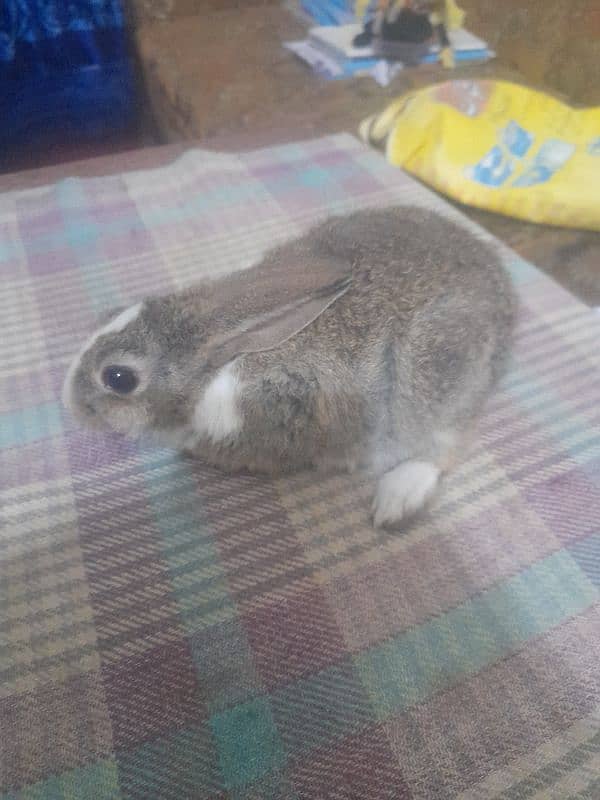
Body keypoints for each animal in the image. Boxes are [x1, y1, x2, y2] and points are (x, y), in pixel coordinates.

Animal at [63, 208, 516, 524]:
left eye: (118, 378)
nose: (69, 404)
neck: (217, 359)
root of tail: (505, 295)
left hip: (434, 370)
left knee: (443, 440)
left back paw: (395, 500)